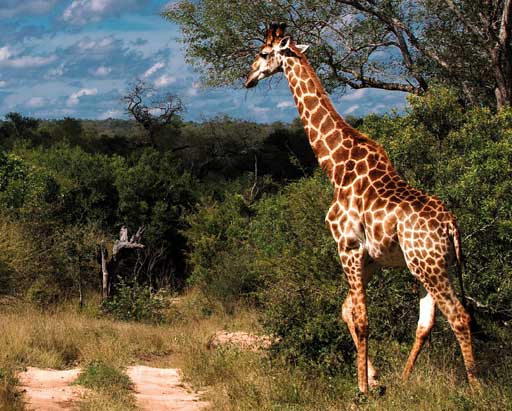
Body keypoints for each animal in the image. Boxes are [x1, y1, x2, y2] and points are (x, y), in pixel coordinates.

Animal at [244, 22, 476, 396]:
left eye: (264, 54)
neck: (336, 165)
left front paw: (363, 388)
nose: (249, 77)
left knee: (458, 315)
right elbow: (347, 310)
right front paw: (375, 378)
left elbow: (362, 317)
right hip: (431, 265)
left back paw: (476, 387)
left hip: (429, 265)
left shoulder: (347, 246)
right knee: (427, 321)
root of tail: (451, 225)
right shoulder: (371, 258)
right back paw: (405, 380)